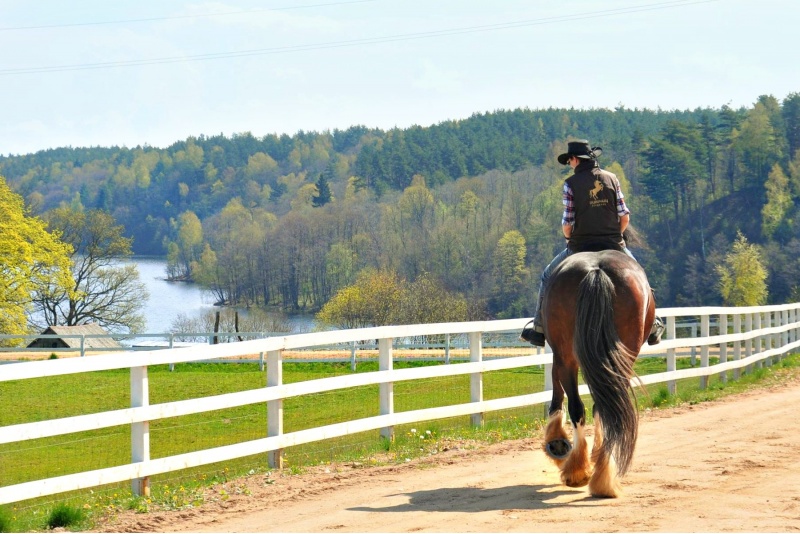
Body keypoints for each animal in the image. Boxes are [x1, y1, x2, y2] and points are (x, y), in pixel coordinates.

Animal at [536, 249, 656, 500]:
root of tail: (597, 270)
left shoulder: (558, 354)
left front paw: (557, 441)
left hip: (568, 355)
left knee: (582, 407)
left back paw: (581, 471)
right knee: (602, 408)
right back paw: (599, 476)